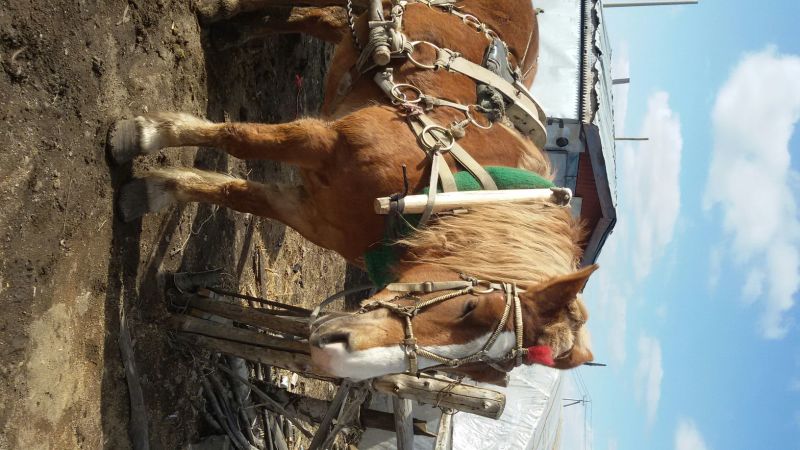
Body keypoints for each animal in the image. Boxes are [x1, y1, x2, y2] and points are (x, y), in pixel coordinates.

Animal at [109, 0, 598, 384]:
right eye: (470, 310)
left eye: (468, 371)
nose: (335, 357)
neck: (446, 186)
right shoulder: (323, 140)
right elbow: (239, 138)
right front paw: (144, 134)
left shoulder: (308, 211)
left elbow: (233, 193)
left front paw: (153, 191)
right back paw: (221, 13)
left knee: (318, 18)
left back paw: (234, 31)